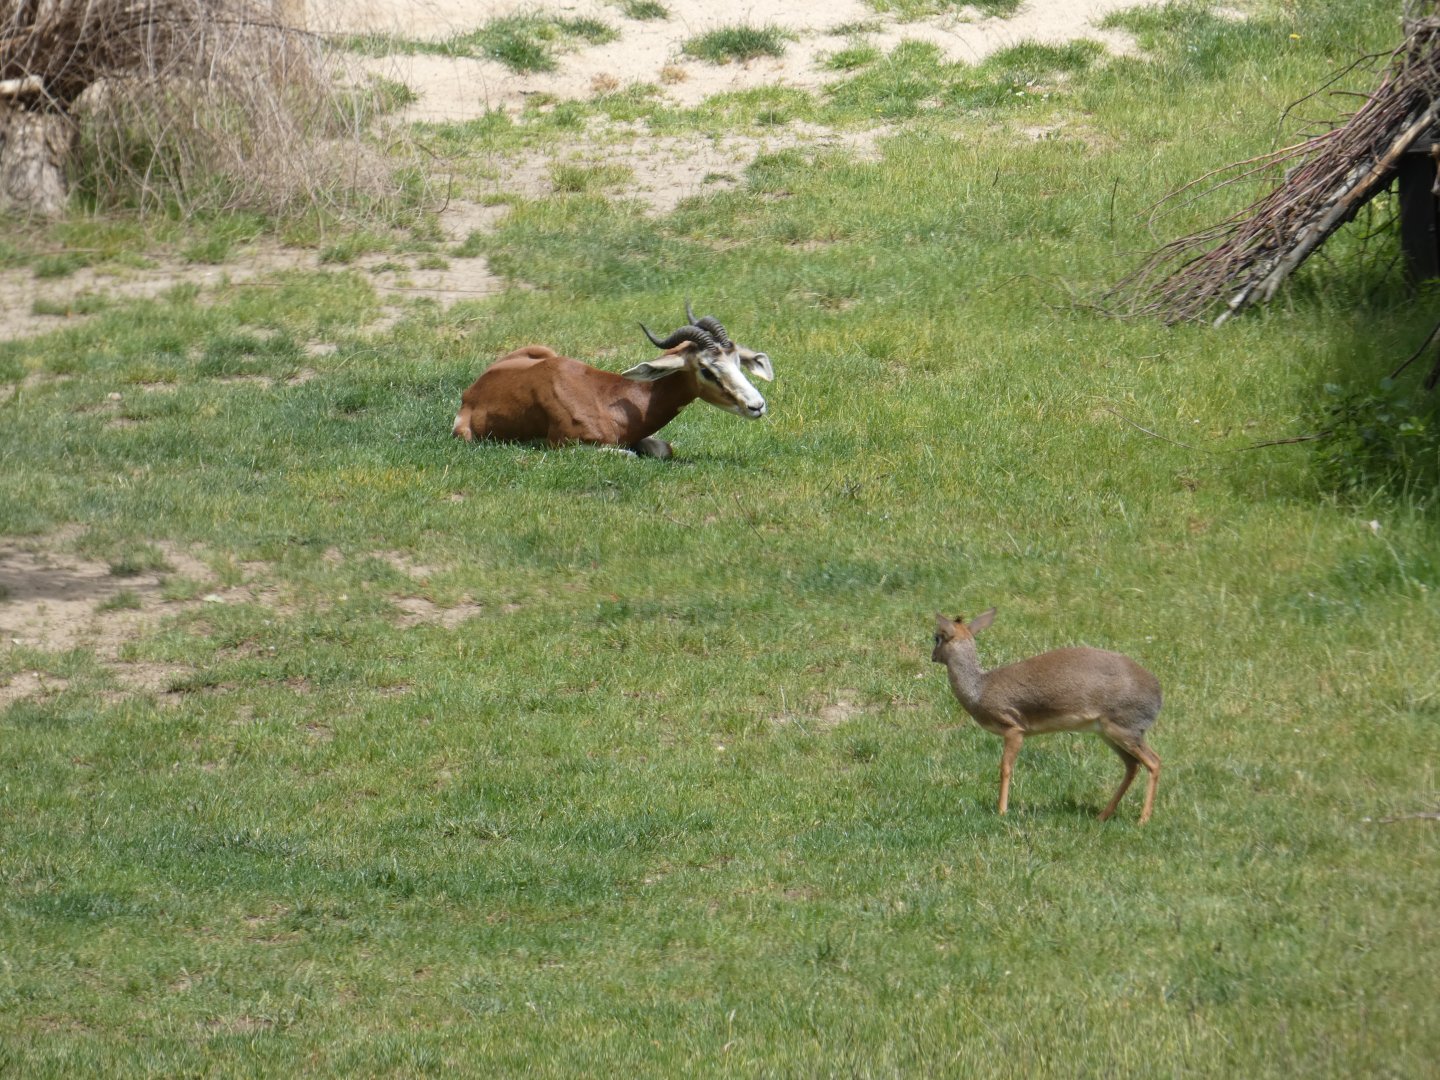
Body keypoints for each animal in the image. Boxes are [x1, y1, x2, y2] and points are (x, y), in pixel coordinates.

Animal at [451, 306, 774, 459]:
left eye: (737, 362)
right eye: (707, 369)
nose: (756, 405)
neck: (606, 399)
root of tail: (472, 391)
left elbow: (663, 448)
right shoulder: (563, 445)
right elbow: (628, 455)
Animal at [931, 609, 1164, 824]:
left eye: (937, 637)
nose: (932, 656)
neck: (979, 689)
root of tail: (1158, 692)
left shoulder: (1014, 729)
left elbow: (1005, 768)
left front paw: (1001, 811)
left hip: (1124, 730)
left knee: (1154, 761)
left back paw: (1142, 820)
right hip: (1109, 734)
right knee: (1133, 765)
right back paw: (1102, 816)